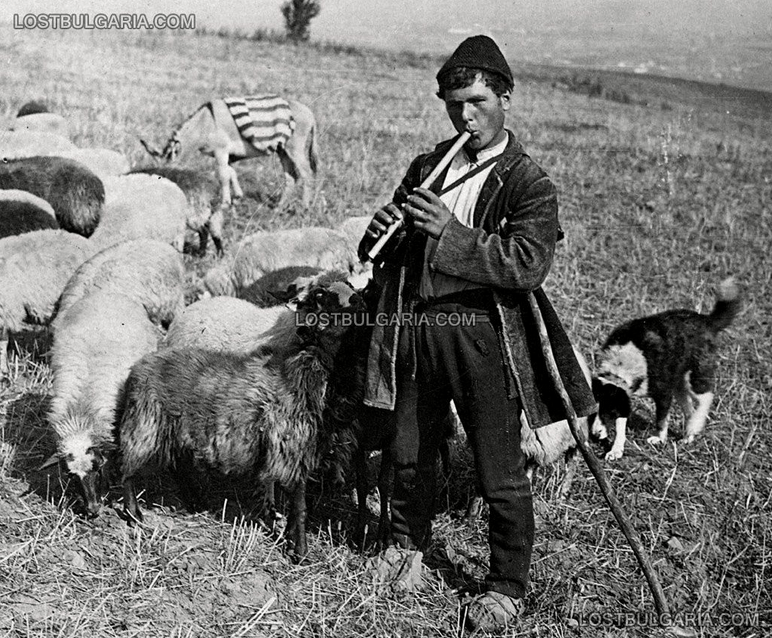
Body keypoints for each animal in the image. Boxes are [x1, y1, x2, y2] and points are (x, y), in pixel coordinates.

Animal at [46, 291, 160, 517]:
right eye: (71, 476)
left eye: (96, 469)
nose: (92, 510)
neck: (82, 411)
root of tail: (107, 294)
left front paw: (132, 510)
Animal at [118, 279, 366, 559]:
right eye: (321, 296)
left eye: (350, 285)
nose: (358, 300)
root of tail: (140, 366)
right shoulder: (290, 446)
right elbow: (299, 506)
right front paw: (300, 550)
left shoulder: (303, 449)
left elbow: (294, 503)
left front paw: (290, 537)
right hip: (144, 423)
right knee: (127, 470)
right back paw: (134, 514)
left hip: (177, 429)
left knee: (177, 465)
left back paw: (195, 501)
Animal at [592, 278, 741, 460]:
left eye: (609, 412)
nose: (594, 436)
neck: (621, 364)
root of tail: (707, 320)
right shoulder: (624, 396)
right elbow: (621, 425)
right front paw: (616, 449)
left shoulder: (663, 394)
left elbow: (661, 420)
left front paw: (659, 439)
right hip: (678, 383)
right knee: (689, 408)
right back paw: (688, 435)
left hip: (695, 375)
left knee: (705, 398)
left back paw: (695, 425)